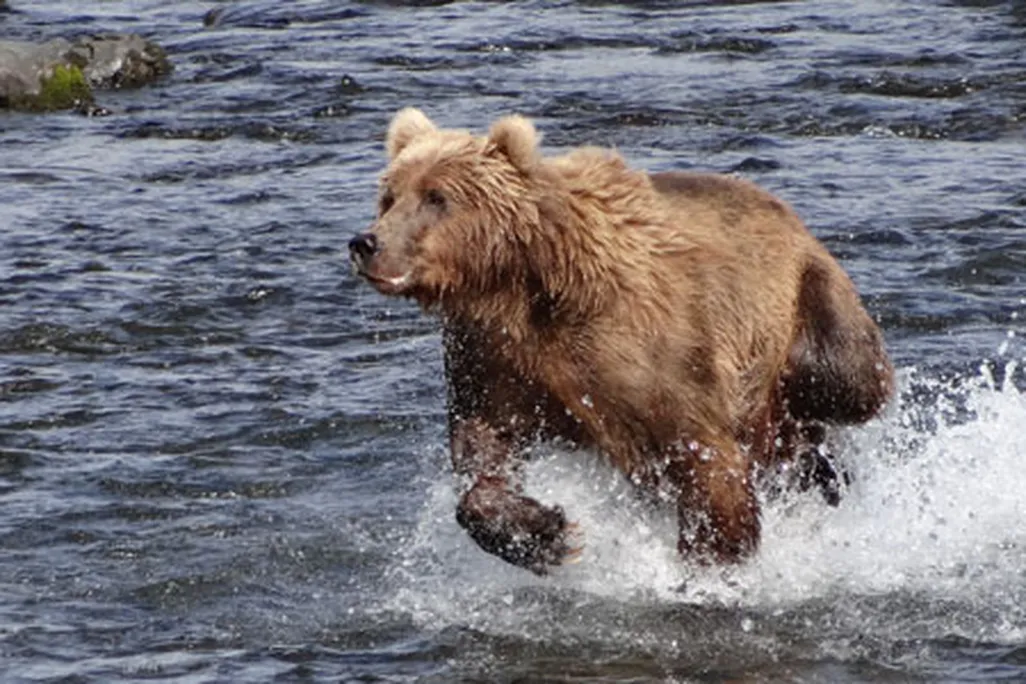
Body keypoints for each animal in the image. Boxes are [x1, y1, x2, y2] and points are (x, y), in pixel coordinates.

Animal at [348, 107, 894, 575]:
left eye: (436, 196)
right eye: (390, 195)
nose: (366, 243)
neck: (522, 284)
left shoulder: (650, 350)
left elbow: (706, 459)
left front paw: (712, 561)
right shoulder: (494, 353)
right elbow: (482, 443)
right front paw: (547, 532)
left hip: (807, 298)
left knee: (841, 382)